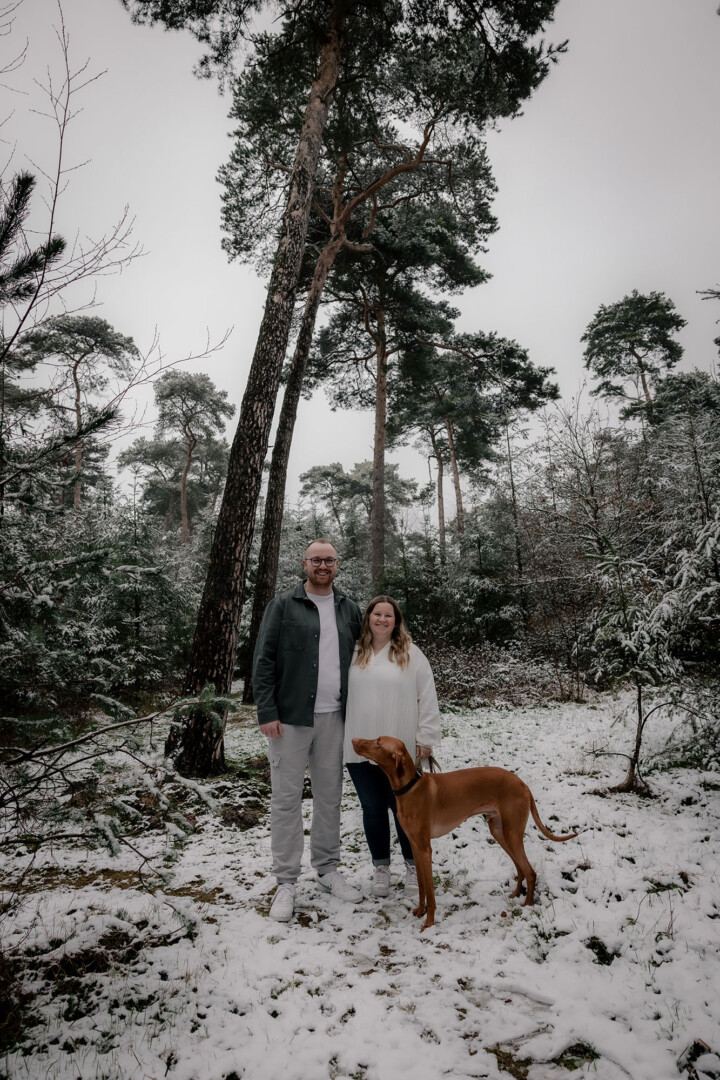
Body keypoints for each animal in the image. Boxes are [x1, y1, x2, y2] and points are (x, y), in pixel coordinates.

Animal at [352, 736, 577, 930]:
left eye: (378, 742)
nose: (353, 740)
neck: (410, 788)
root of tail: (521, 783)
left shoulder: (425, 849)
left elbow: (431, 891)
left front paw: (429, 922)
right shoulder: (415, 846)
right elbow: (422, 885)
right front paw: (419, 911)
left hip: (512, 834)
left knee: (530, 871)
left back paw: (528, 904)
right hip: (499, 832)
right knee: (520, 868)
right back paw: (515, 894)